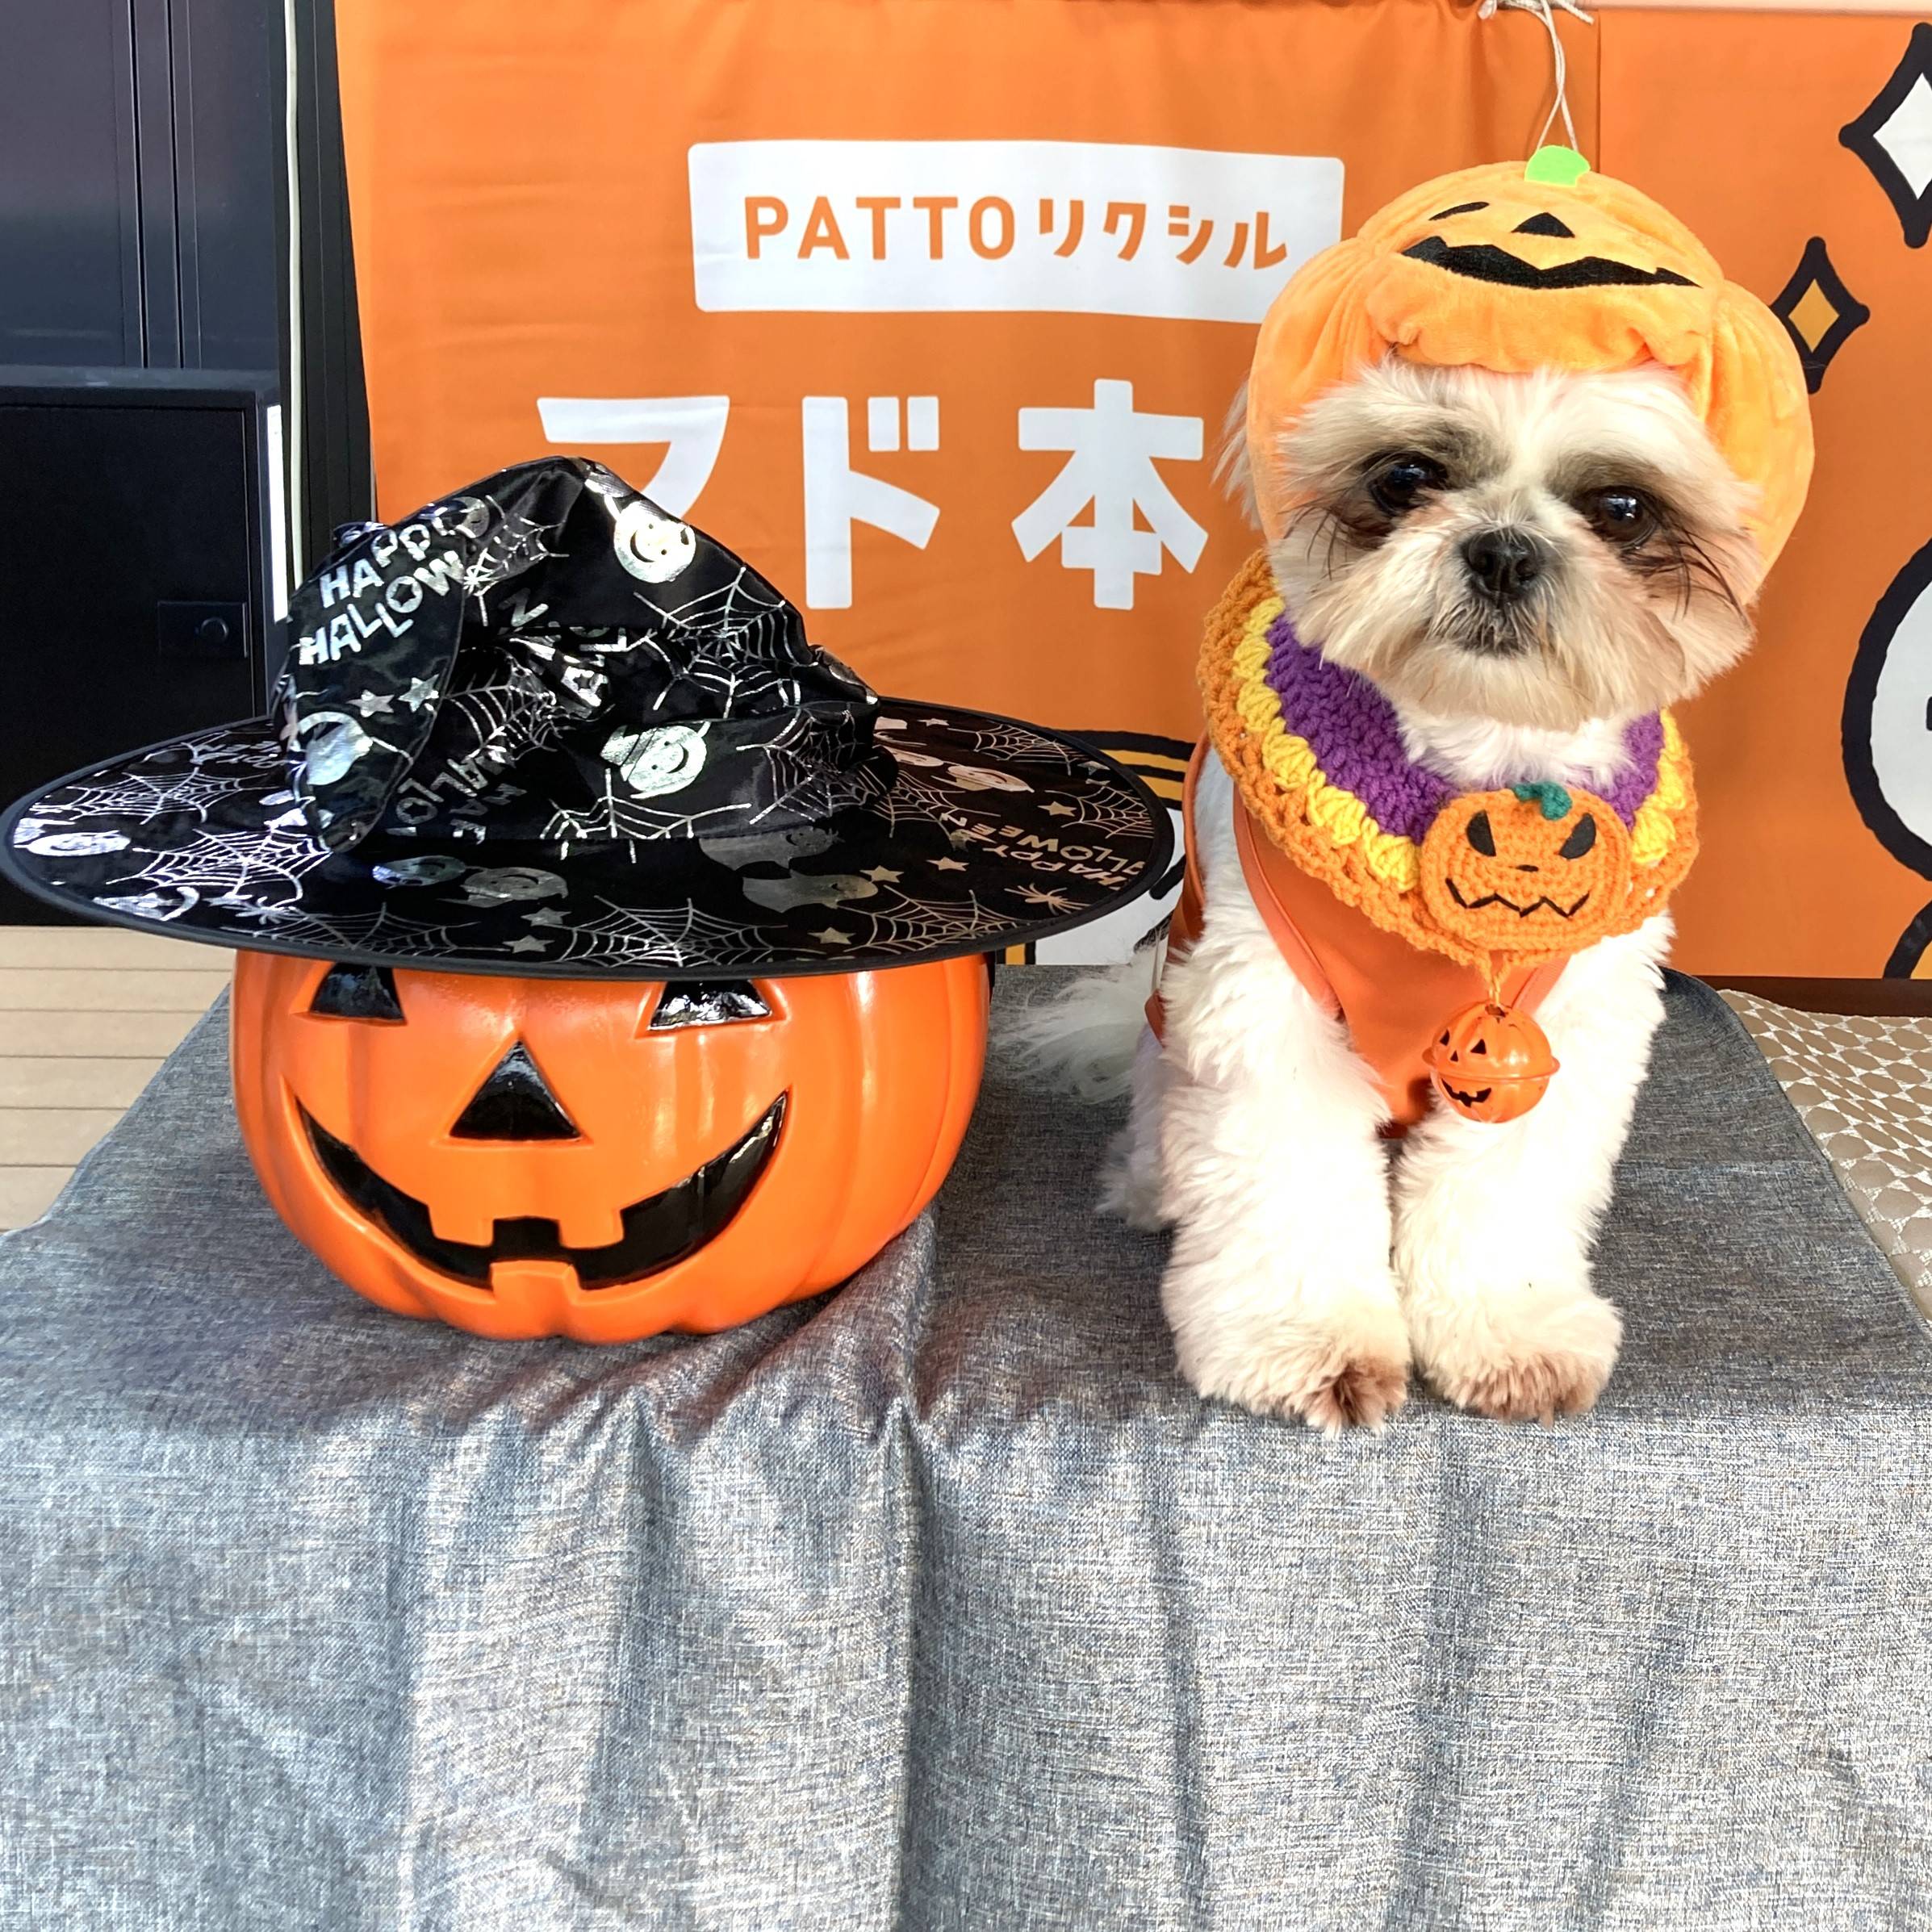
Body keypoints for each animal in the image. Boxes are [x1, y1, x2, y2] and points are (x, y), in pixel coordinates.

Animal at [1027, 359, 1769, 1437]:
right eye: (1407, 476)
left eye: (1622, 508)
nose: (1504, 550)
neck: (1480, 756)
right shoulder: (1267, 1013)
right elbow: (1285, 1183)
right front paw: (1307, 1347)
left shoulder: (1563, 1033)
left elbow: (1504, 1190)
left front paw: (1510, 1334)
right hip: (1170, 1056)